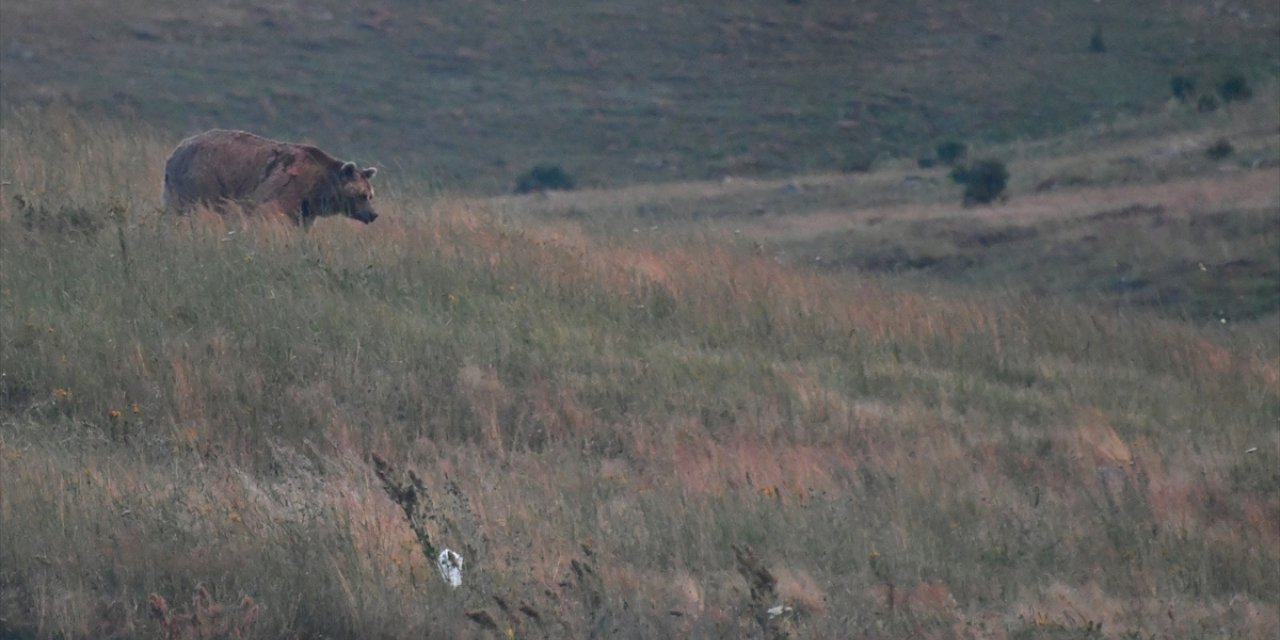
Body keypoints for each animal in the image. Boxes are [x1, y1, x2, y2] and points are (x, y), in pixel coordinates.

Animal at [162, 129, 376, 227]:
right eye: (362, 195)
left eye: (371, 194)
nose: (374, 214)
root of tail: (176, 152)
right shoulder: (281, 189)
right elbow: (266, 211)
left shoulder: (304, 208)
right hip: (202, 179)